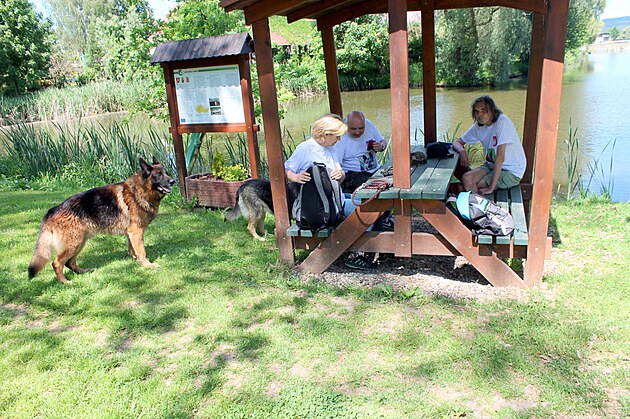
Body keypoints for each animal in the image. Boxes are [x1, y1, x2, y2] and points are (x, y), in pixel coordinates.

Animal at [27, 158, 175, 286]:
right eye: (159, 175)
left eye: (166, 173)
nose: (173, 181)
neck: (140, 190)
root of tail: (52, 210)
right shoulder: (136, 232)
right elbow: (141, 251)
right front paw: (147, 265)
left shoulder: (131, 233)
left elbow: (132, 249)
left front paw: (134, 260)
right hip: (73, 243)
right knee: (57, 263)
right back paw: (65, 282)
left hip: (80, 242)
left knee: (70, 262)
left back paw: (83, 272)